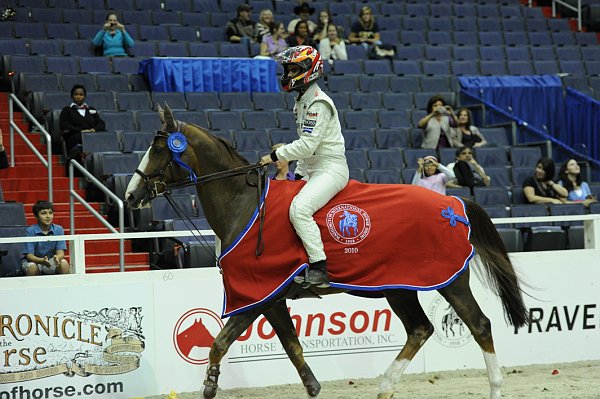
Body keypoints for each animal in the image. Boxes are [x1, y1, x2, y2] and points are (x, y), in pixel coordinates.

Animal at [125, 106, 524, 399]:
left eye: (158, 149)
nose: (130, 196)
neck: (245, 205)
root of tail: (453, 205)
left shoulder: (258, 294)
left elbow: (220, 344)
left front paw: (210, 385)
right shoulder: (271, 298)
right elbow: (292, 348)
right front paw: (312, 386)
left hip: (449, 282)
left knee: (479, 325)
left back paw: (494, 389)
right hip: (398, 287)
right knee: (420, 329)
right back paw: (384, 387)